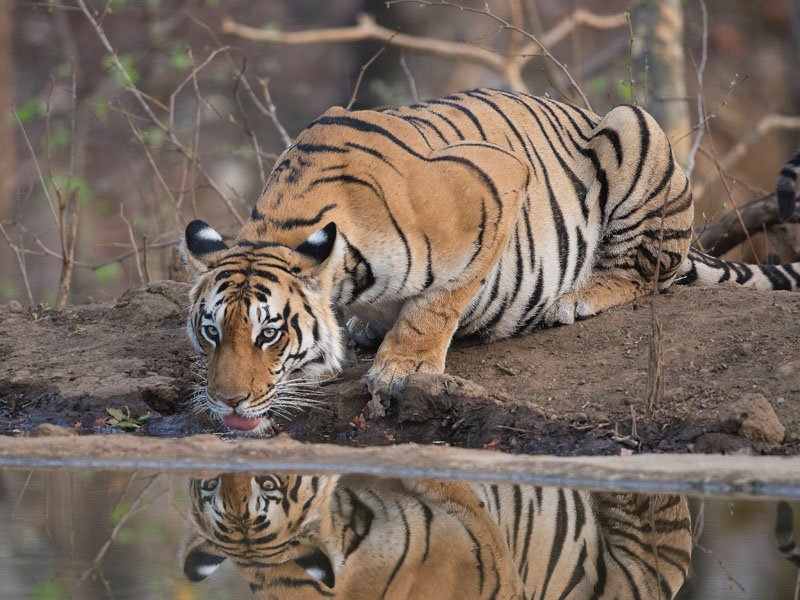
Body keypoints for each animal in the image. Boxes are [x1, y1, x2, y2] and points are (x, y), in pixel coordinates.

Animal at [181, 89, 800, 433]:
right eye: (211, 332)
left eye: (269, 334)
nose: (226, 400)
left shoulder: (495, 184)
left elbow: (438, 302)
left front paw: (404, 367)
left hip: (634, 128)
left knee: (649, 271)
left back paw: (576, 298)